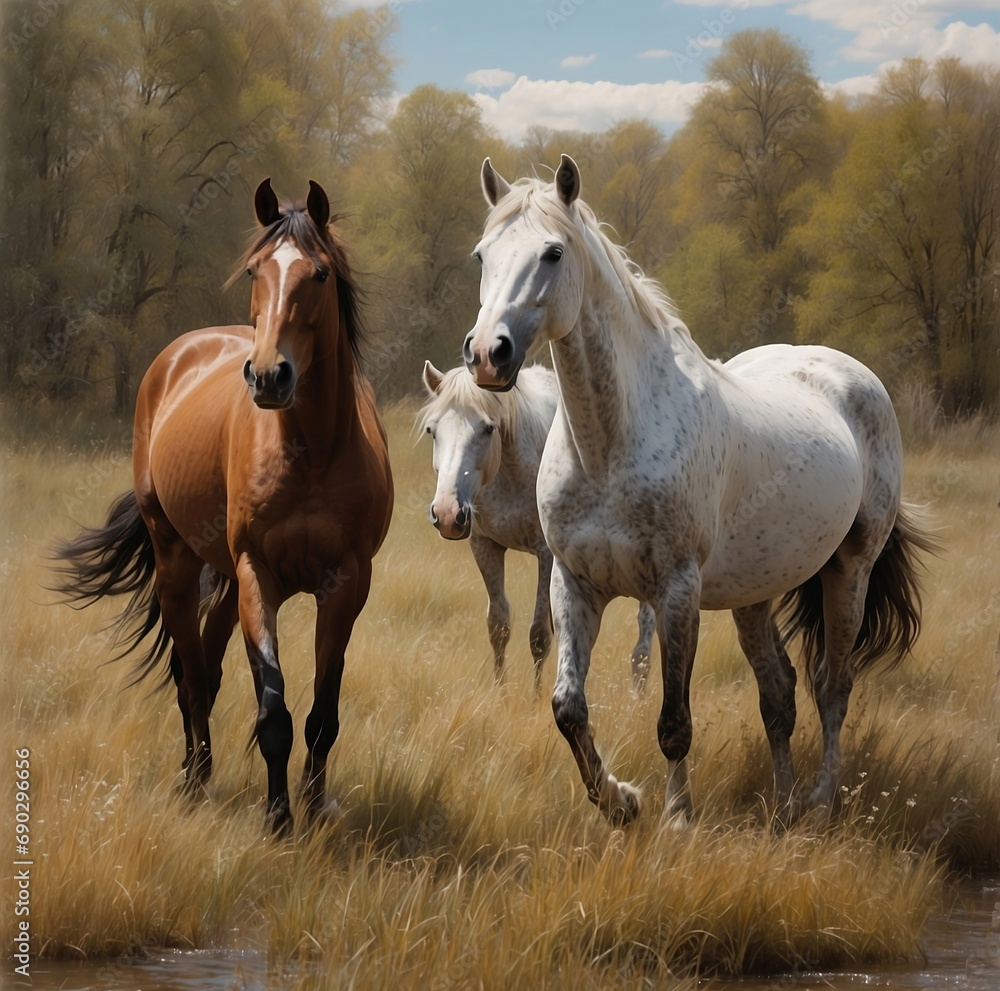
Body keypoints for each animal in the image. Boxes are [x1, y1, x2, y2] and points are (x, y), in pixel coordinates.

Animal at [53, 179, 393, 834]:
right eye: (257, 270)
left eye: (318, 273)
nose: (267, 377)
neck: (310, 450)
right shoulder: (257, 573)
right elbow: (273, 710)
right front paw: (279, 819)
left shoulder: (347, 582)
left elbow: (323, 712)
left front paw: (314, 805)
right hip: (179, 564)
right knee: (189, 676)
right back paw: (192, 781)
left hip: (228, 583)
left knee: (204, 672)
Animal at [418, 360, 656, 688]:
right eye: (432, 431)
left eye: (487, 428)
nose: (446, 514)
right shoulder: (485, 546)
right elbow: (499, 625)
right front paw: (500, 690)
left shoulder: (546, 553)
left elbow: (539, 636)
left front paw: (536, 694)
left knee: (644, 636)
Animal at [462, 155, 934, 827]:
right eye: (482, 255)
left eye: (553, 252)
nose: (487, 355)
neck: (611, 445)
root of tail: (853, 375)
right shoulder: (575, 585)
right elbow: (568, 708)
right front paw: (620, 802)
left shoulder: (676, 591)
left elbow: (673, 722)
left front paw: (677, 818)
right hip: (754, 594)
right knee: (779, 692)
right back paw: (783, 806)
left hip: (851, 570)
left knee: (832, 684)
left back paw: (821, 801)